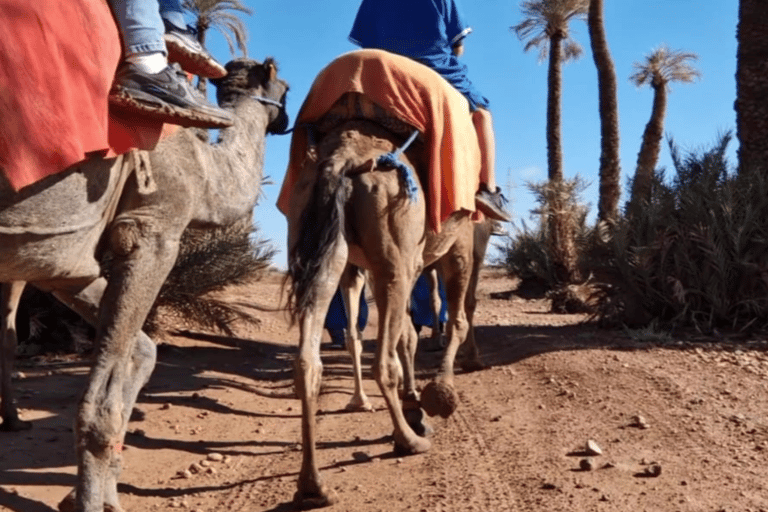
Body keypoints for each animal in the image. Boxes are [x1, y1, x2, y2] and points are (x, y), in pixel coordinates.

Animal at [0, 59, 288, 512]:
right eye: (287, 88)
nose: (288, 121)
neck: (203, 168)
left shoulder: (60, 259)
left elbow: (142, 350)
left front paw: (96, 495)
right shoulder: (153, 229)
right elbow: (102, 402)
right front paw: (89, 501)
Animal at [284, 95, 476, 504]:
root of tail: (342, 157)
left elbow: (409, 333)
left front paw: (417, 401)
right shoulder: (459, 240)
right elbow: (454, 322)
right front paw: (439, 394)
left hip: (319, 239)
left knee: (309, 360)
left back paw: (313, 485)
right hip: (392, 237)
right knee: (383, 360)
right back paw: (408, 440)